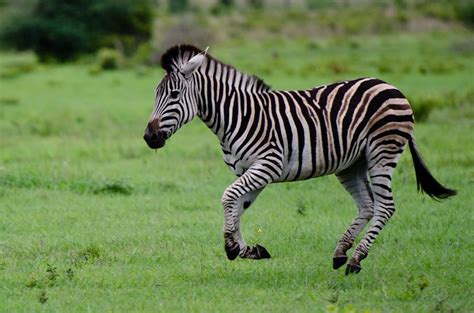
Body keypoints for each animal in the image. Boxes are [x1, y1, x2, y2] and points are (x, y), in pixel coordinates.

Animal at [143, 44, 456, 272]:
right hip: (352, 164)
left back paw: (356, 259)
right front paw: (248, 250)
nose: (149, 137)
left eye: (174, 94)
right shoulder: (251, 171)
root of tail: (391, 86)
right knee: (368, 205)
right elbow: (238, 206)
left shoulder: (267, 165)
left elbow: (228, 197)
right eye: (155, 94)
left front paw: (233, 248)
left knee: (386, 207)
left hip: (382, 152)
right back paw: (341, 253)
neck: (235, 116)